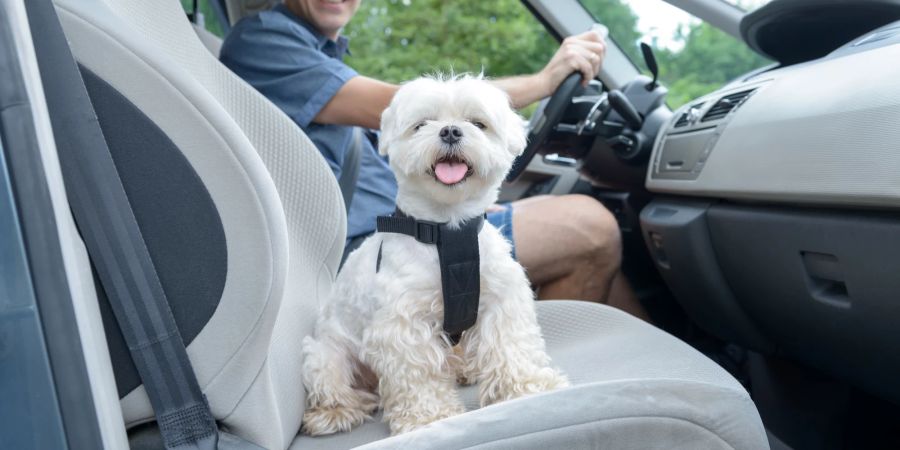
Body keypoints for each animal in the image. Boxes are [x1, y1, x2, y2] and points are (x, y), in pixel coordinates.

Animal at [302, 74, 568, 436]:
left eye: (477, 123)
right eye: (421, 125)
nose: (451, 131)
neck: (447, 230)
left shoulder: (501, 300)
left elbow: (510, 346)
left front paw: (529, 387)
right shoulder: (402, 323)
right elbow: (419, 376)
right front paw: (429, 417)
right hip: (325, 355)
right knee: (333, 383)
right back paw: (336, 411)